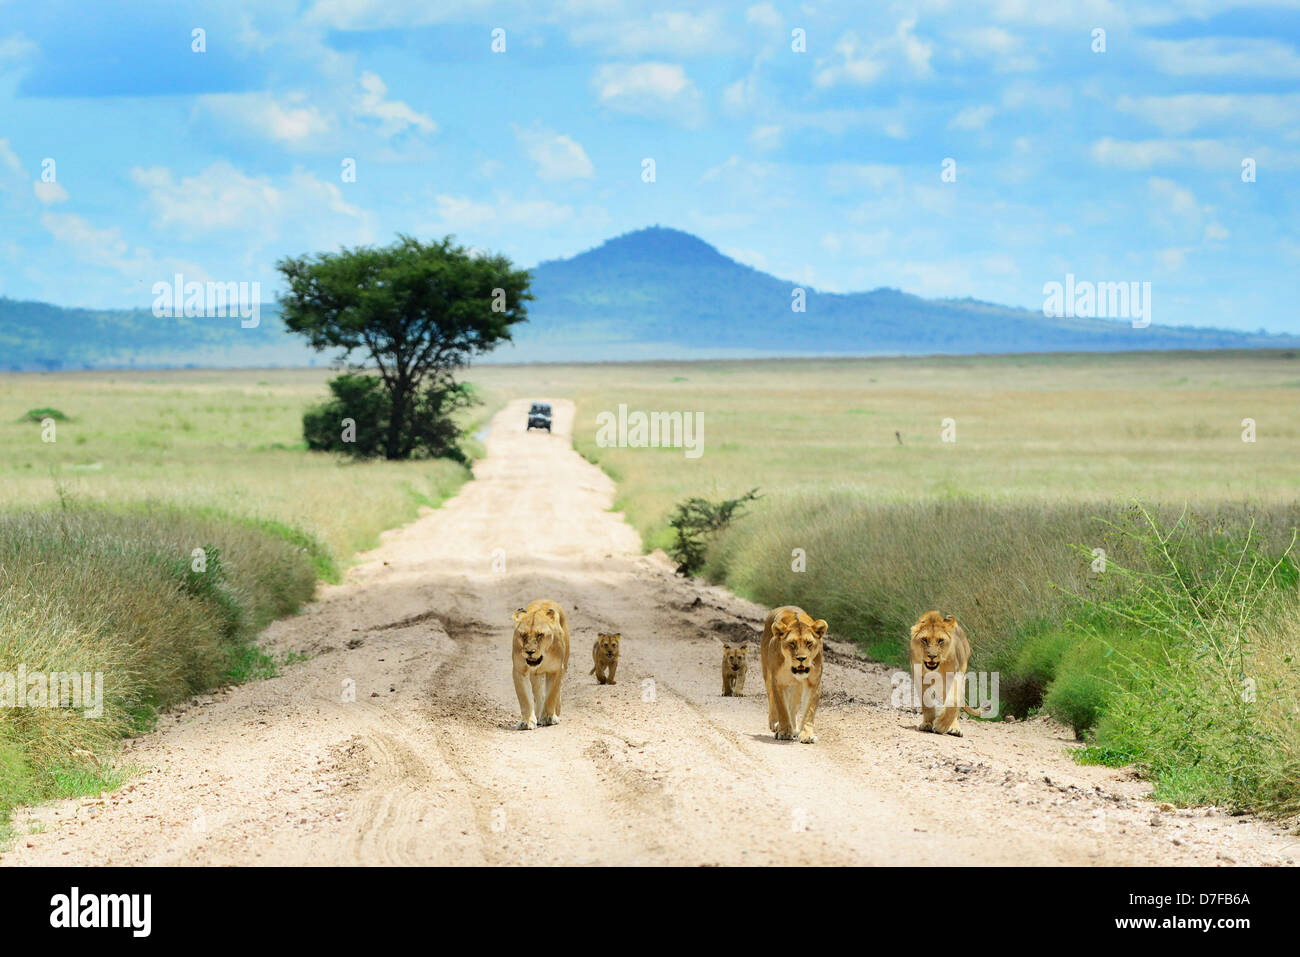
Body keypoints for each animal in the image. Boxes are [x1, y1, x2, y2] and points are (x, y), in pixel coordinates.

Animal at [509, 600, 572, 728]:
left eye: (540, 635)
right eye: (523, 634)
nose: (530, 652)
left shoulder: (556, 670)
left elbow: (552, 694)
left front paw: (549, 718)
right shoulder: (519, 670)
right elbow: (524, 698)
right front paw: (527, 721)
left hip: (564, 664)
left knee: (557, 691)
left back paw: (556, 710)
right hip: (535, 675)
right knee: (538, 694)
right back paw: (538, 714)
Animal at [759, 605, 826, 738]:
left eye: (809, 643)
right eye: (792, 643)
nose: (801, 658)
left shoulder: (814, 683)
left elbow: (809, 710)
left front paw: (806, 734)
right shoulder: (778, 681)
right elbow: (781, 707)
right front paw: (784, 731)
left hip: (797, 686)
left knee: (793, 706)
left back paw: (794, 728)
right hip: (767, 675)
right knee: (771, 699)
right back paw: (775, 723)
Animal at [909, 608, 972, 738]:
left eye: (940, 641)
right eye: (924, 639)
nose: (932, 656)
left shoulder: (956, 674)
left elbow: (953, 700)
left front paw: (940, 726)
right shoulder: (918, 676)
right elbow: (925, 700)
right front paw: (927, 724)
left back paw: (954, 728)